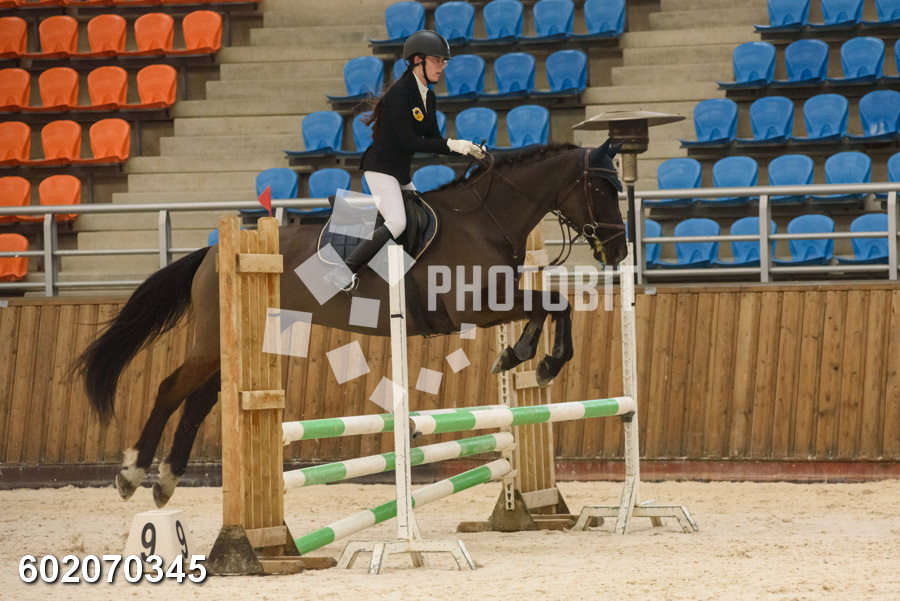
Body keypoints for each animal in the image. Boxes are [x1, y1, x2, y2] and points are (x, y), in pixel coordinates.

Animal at [78, 141, 628, 507]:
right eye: (601, 186)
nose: (620, 251)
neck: (484, 219)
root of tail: (216, 250)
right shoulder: (475, 306)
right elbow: (551, 303)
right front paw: (534, 359)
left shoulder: (496, 302)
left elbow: (552, 304)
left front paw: (526, 359)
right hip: (213, 341)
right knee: (172, 388)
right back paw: (133, 473)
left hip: (246, 340)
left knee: (201, 399)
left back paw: (167, 479)